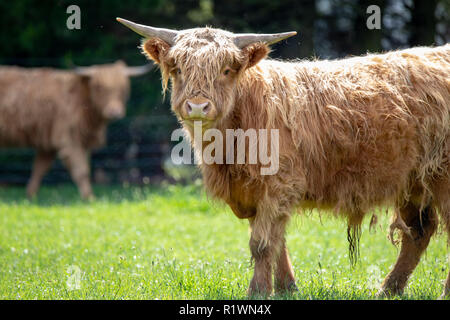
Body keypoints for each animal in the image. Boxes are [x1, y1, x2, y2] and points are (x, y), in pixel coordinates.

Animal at [0, 60, 152, 198]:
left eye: (123, 88)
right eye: (98, 87)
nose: (114, 112)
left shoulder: (50, 144)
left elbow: (39, 169)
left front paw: (31, 196)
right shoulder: (69, 139)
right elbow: (81, 171)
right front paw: (89, 198)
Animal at [117, 17, 450, 298]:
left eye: (226, 70)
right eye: (178, 70)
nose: (198, 106)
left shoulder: (279, 184)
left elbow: (262, 244)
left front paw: (258, 291)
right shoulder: (254, 192)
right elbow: (277, 242)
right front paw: (287, 287)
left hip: (442, 177)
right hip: (413, 180)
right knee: (418, 233)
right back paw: (388, 290)